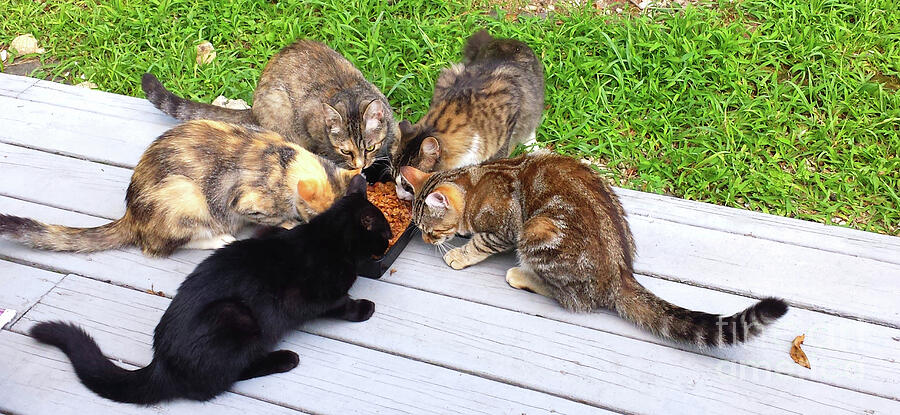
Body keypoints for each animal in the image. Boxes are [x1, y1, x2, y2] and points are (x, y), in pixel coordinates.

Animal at [0, 119, 358, 256]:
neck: (287, 159)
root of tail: (131, 214)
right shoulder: (245, 200)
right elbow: (271, 215)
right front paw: (289, 222)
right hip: (186, 197)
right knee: (164, 244)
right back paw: (219, 238)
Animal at [30, 176, 390, 406]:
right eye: (385, 233)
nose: (387, 245)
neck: (326, 235)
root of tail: (162, 364)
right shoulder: (318, 294)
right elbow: (341, 304)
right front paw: (363, 309)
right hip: (235, 316)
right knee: (222, 380)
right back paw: (285, 358)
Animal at [400, 154, 788, 348]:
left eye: (430, 230)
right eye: (418, 228)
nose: (426, 241)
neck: (476, 179)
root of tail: (620, 274)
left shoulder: (504, 229)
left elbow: (479, 242)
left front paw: (458, 253)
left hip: (538, 230)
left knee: (575, 299)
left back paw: (521, 274)